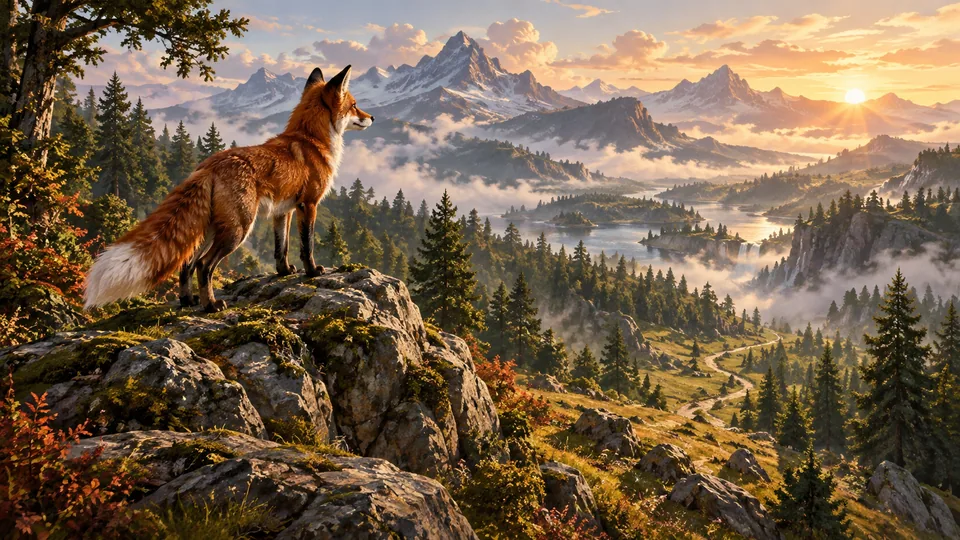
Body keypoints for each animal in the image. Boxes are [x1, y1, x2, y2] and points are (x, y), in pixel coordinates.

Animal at [83, 65, 374, 313]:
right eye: (355, 105)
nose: (372, 117)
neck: (311, 140)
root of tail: (209, 165)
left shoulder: (283, 211)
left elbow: (281, 248)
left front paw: (284, 271)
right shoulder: (308, 205)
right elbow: (307, 246)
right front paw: (312, 272)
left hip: (211, 229)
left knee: (187, 264)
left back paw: (188, 301)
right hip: (238, 229)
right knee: (203, 265)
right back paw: (211, 305)